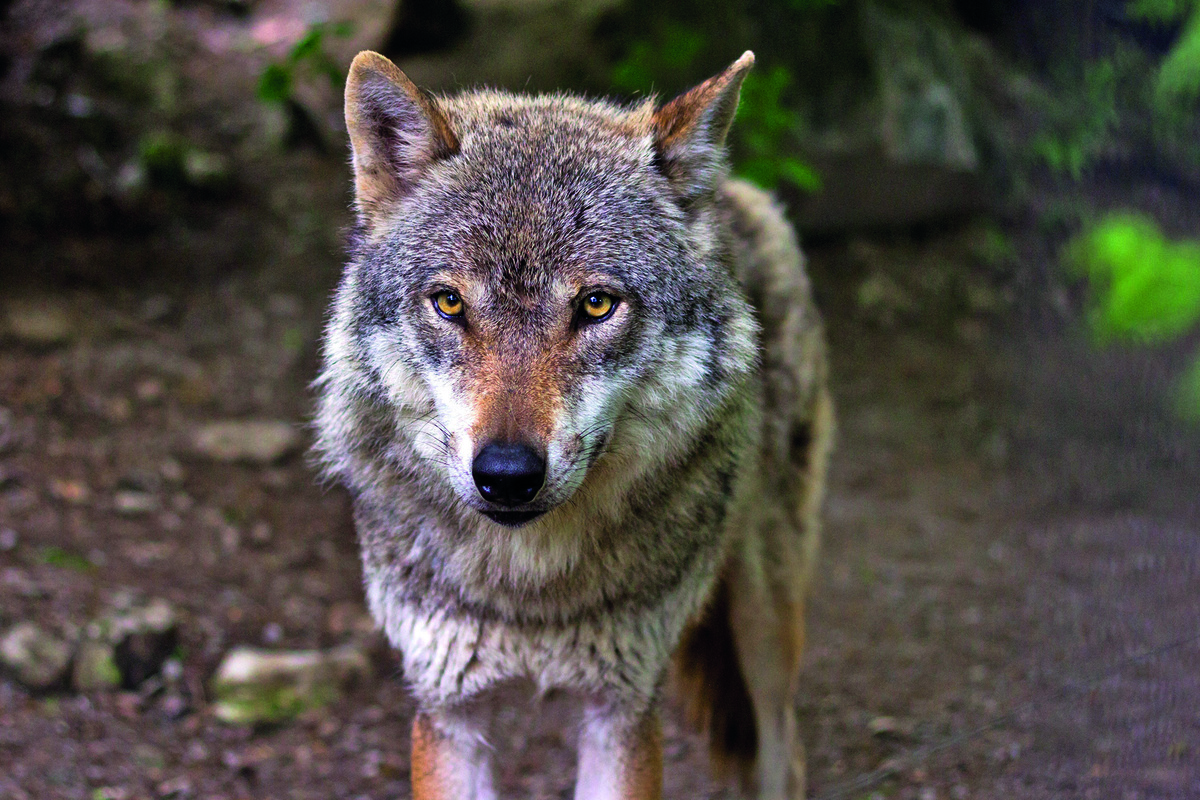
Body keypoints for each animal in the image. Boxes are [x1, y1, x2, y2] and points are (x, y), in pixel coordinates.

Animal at [314, 49, 834, 800]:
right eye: (449, 303)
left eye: (595, 305)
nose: (506, 475)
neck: (530, 589)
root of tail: (732, 192)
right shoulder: (448, 709)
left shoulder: (621, 709)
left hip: (764, 623)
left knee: (783, 750)